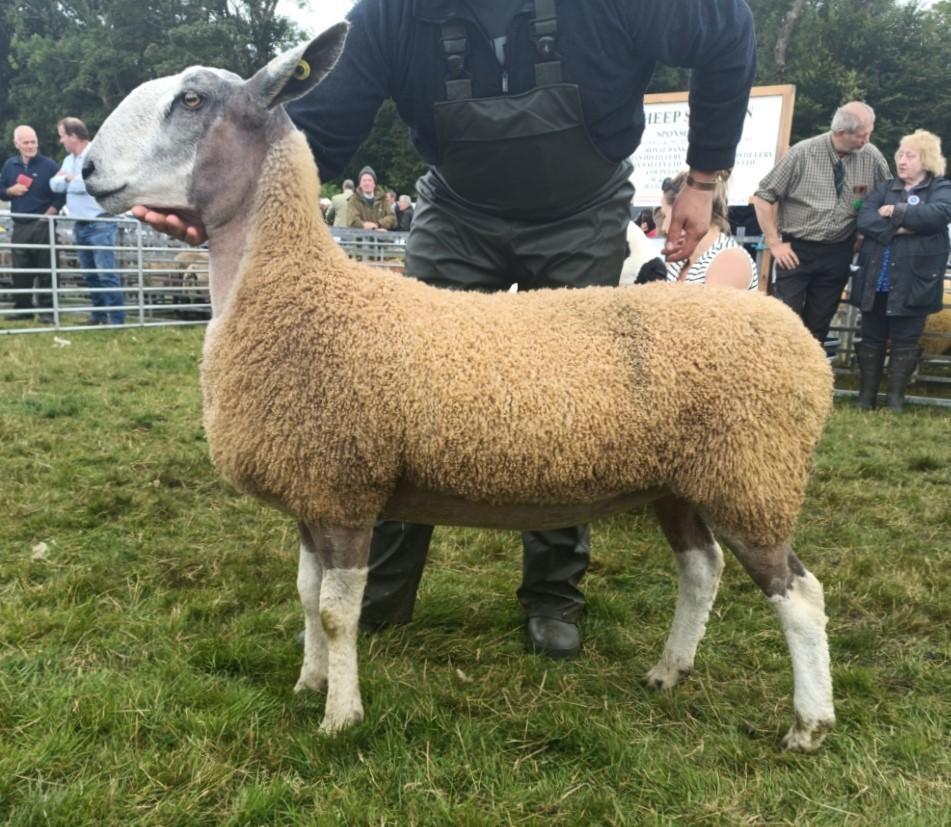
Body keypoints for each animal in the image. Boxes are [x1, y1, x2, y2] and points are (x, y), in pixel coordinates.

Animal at [83, 24, 840, 752]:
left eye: (191, 101)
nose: (87, 169)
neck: (296, 289)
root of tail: (801, 341)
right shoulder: (310, 489)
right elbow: (304, 596)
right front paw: (308, 683)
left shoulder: (345, 489)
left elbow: (334, 612)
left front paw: (340, 717)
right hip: (682, 482)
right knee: (701, 570)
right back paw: (668, 670)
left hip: (752, 476)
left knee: (798, 594)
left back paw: (807, 724)